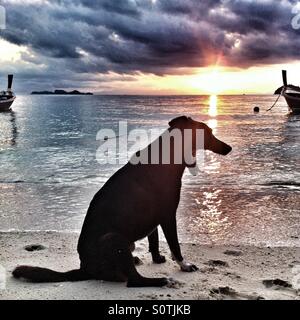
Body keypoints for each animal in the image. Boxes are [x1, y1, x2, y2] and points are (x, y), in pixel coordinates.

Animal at [12, 117, 231, 288]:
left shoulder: (154, 218)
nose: (229, 148)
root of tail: (85, 268)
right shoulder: (168, 216)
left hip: (126, 243)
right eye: (209, 133)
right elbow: (175, 246)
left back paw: (137, 260)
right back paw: (160, 281)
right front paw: (184, 266)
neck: (170, 155)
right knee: (133, 281)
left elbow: (154, 241)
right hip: (113, 239)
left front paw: (158, 259)